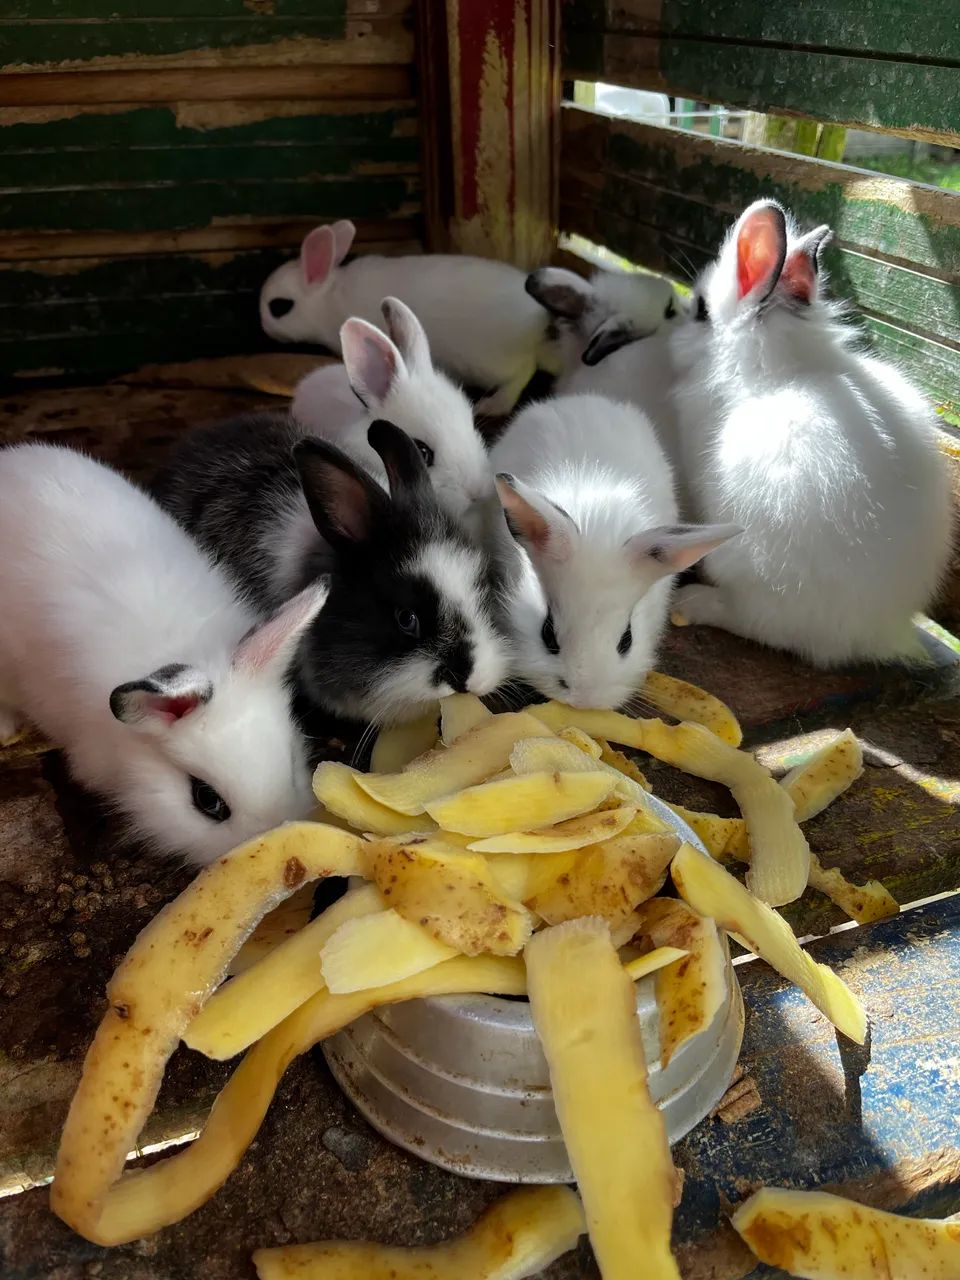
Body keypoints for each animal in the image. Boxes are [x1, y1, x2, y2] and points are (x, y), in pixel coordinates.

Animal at [259, 220, 560, 416]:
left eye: (279, 307)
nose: (264, 327)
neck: (329, 299)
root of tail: (538, 327)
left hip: (490, 362)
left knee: (525, 369)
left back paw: (494, 404)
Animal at [668, 197, 954, 666]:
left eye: (701, 311)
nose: (670, 335)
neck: (774, 368)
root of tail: (875, 634)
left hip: (755, 569)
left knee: (759, 623)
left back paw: (693, 603)